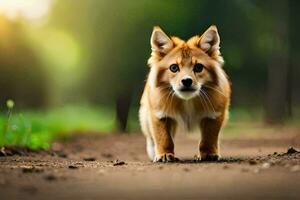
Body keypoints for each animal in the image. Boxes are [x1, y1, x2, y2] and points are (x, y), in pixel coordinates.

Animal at [139, 25, 231, 162]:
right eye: (174, 68)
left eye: (198, 67)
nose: (187, 81)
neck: (187, 101)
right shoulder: (159, 115)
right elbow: (163, 138)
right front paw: (164, 154)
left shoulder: (215, 115)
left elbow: (208, 138)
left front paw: (209, 153)